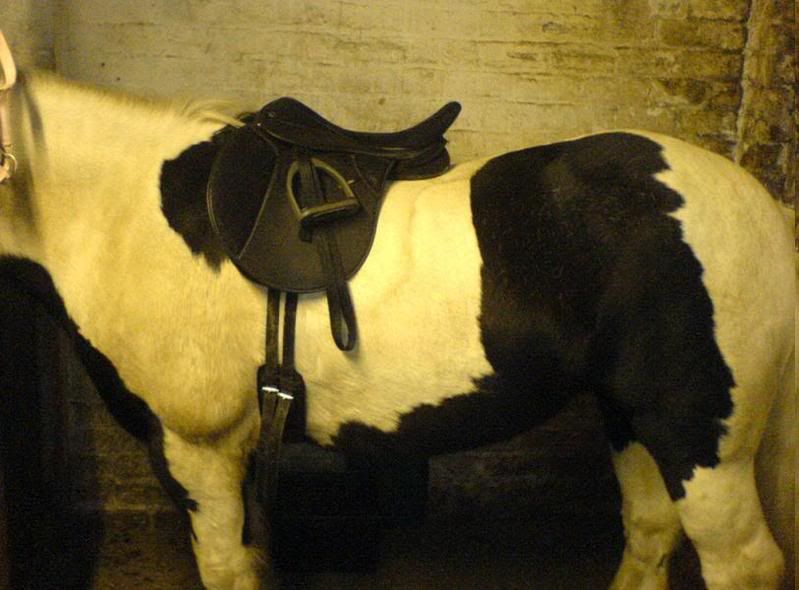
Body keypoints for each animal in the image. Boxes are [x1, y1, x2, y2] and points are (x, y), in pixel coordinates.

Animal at [0, 69, 794, 590]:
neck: (123, 215)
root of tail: (762, 207)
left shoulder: (196, 451)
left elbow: (227, 569)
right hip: (630, 418)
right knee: (650, 535)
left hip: (702, 444)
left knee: (742, 564)